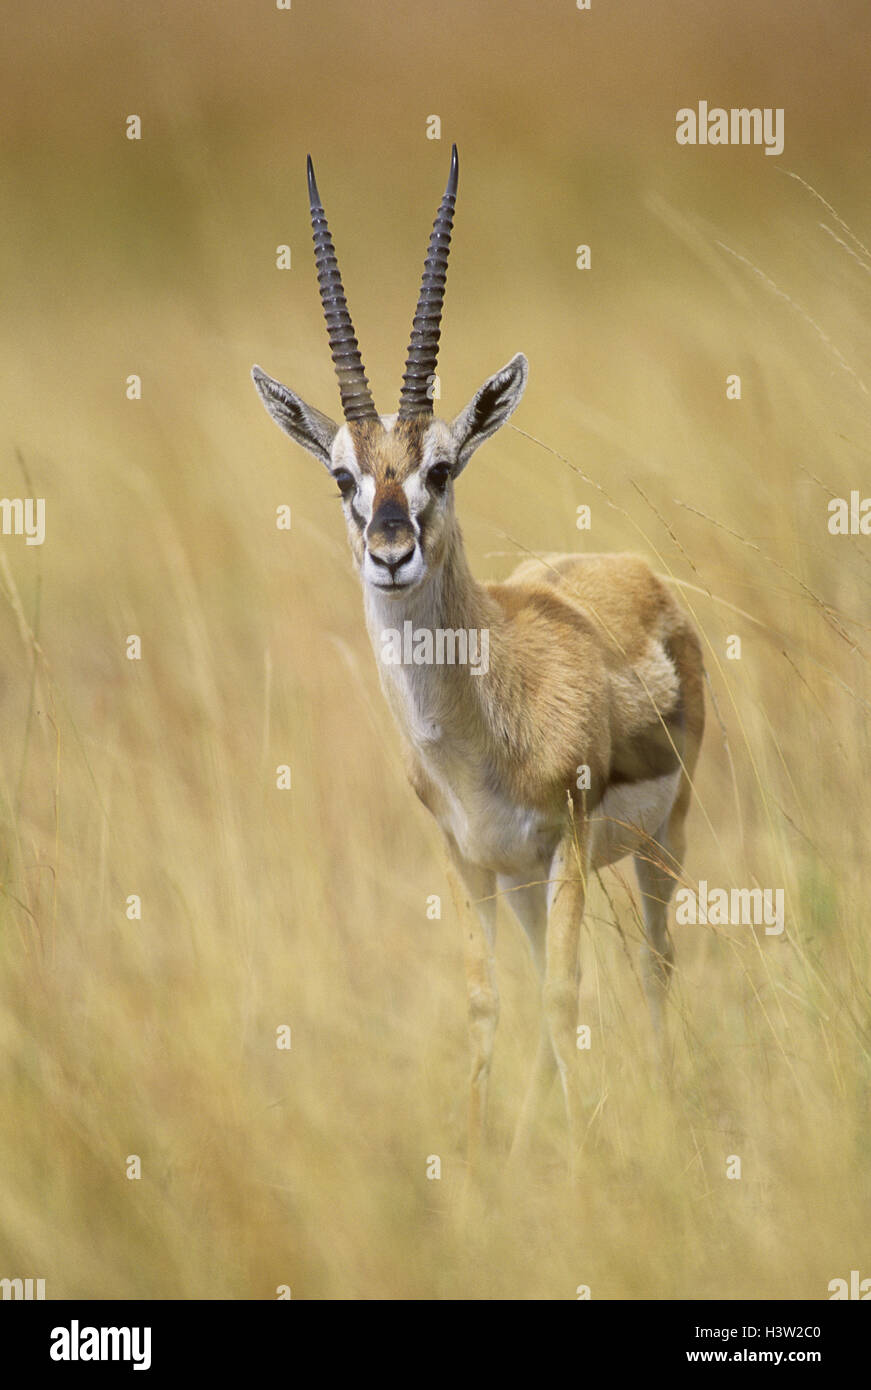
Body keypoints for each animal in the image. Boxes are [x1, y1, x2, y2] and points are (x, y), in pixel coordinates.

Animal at [252, 147, 705, 1172]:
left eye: (442, 466)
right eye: (342, 475)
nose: (391, 553)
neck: (482, 723)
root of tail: (637, 572)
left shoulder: (567, 840)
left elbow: (567, 997)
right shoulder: (465, 858)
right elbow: (488, 1003)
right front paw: (475, 1169)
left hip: (658, 844)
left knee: (655, 968)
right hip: (526, 880)